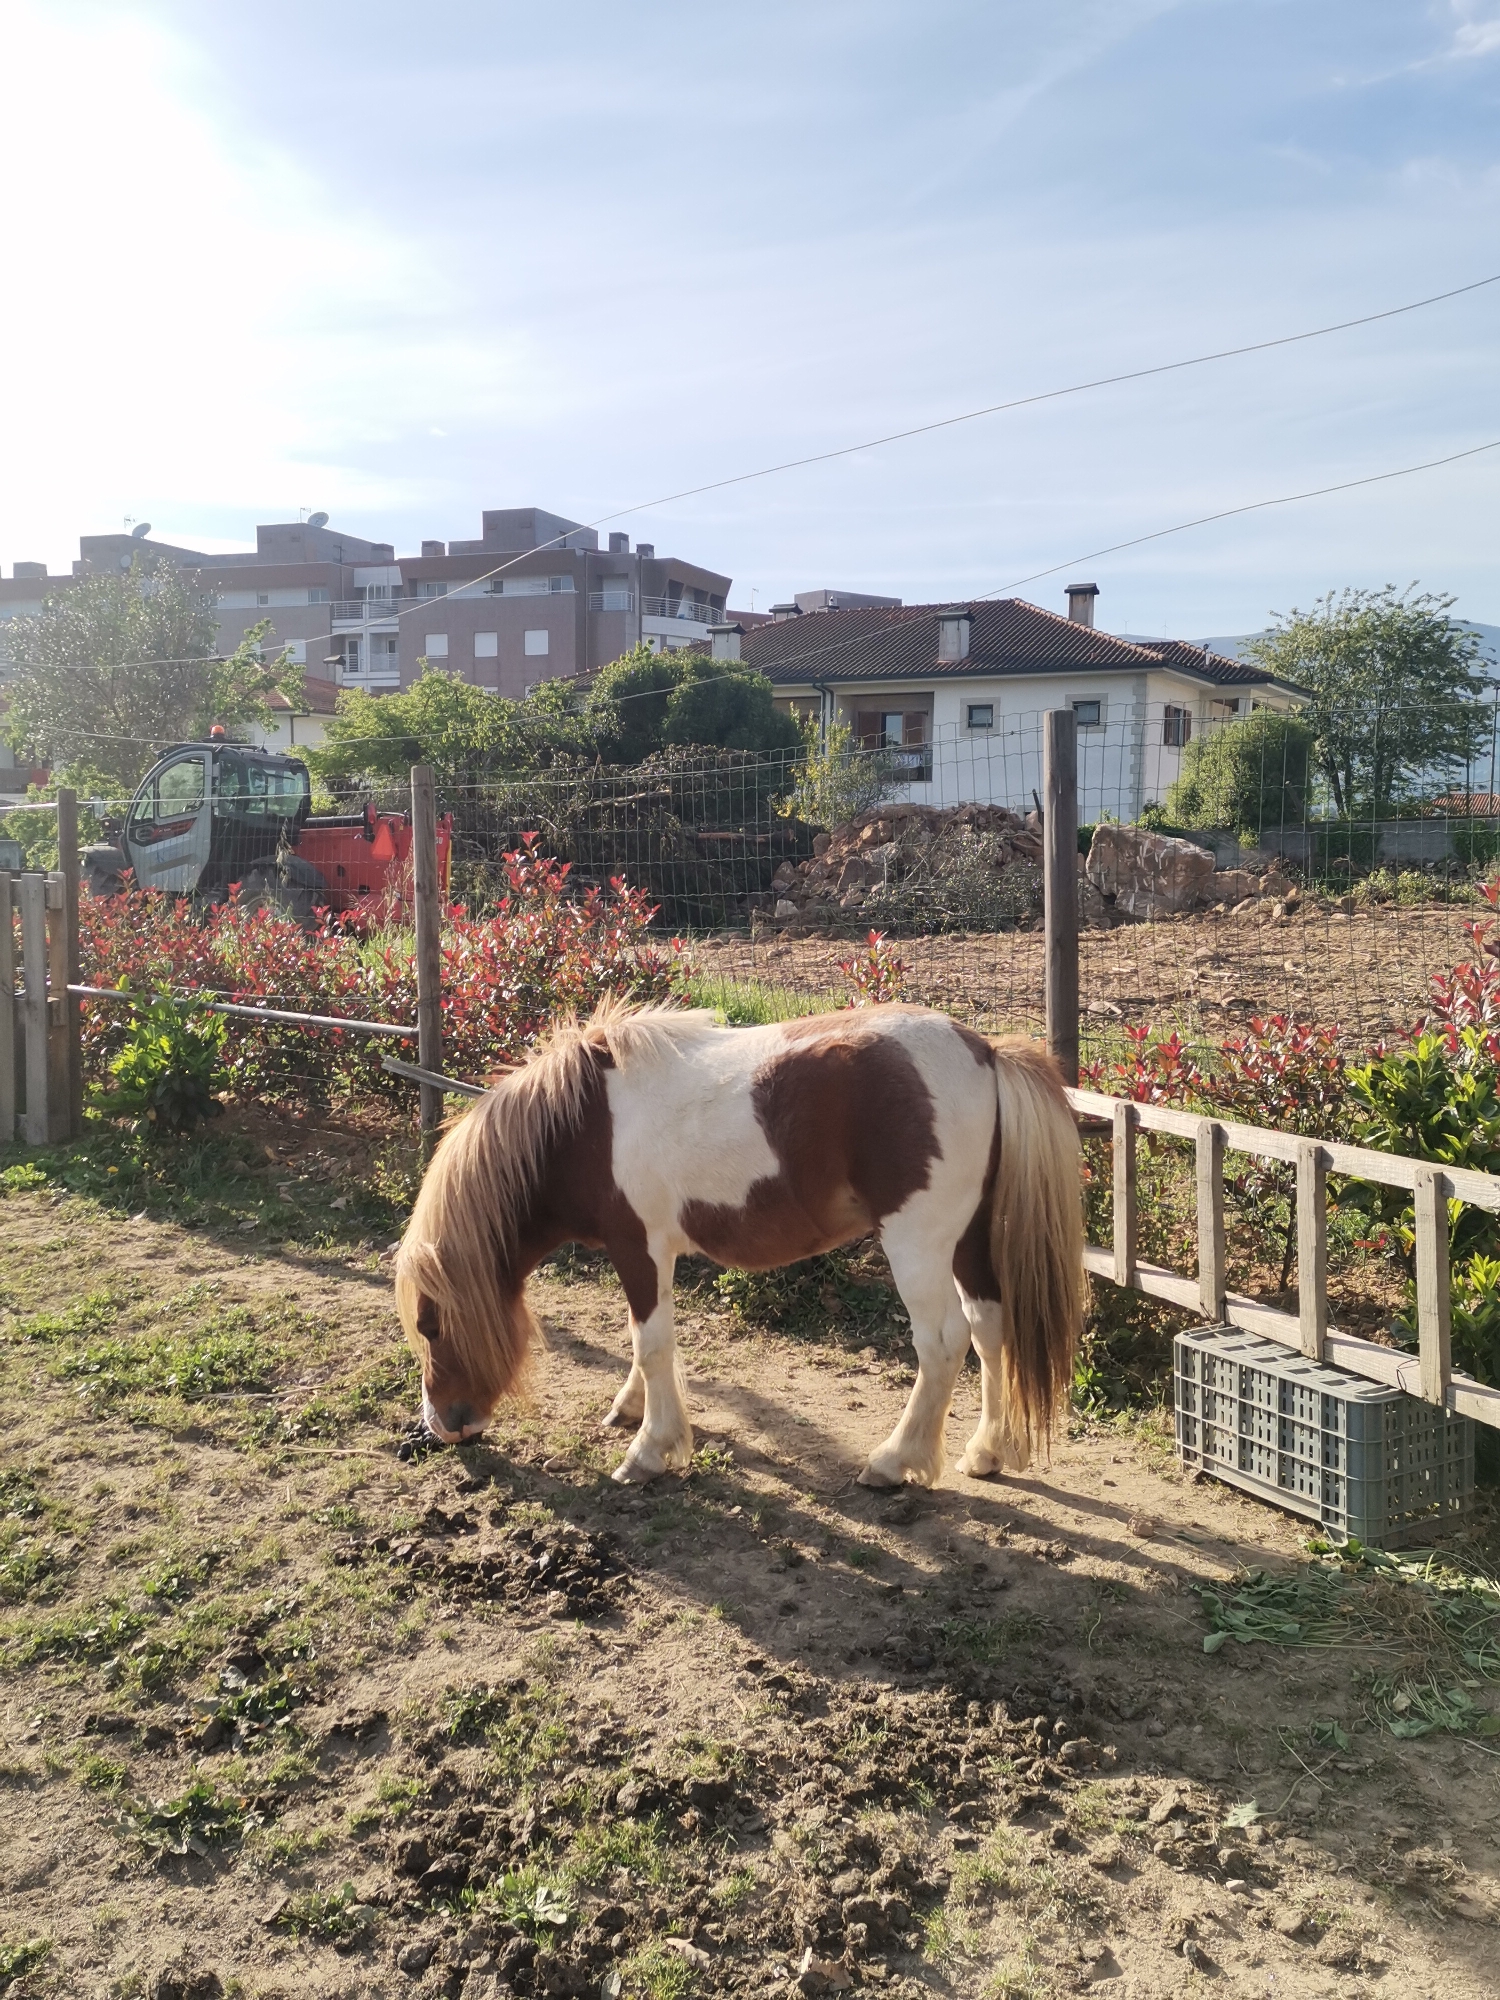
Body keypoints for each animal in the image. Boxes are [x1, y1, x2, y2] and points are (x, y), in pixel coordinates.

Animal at [394, 999, 1086, 1489]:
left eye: (430, 1325)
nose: (443, 1426)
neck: (582, 1127)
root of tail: (985, 1051)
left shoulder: (637, 1247)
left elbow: (650, 1343)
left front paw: (650, 1451)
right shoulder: (655, 1254)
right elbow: (651, 1342)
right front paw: (633, 1409)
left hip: (918, 1244)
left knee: (943, 1342)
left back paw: (894, 1462)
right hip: (966, 1241)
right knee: (989, 1328)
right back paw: (988, 1451)